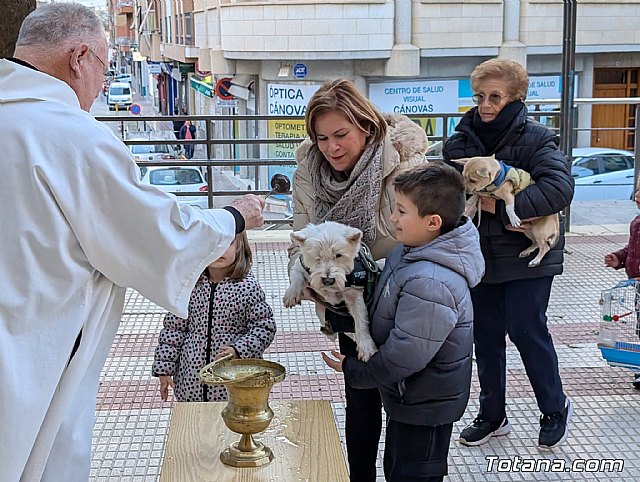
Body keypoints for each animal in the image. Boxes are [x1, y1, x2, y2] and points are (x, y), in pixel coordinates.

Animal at [282, 220, 378, 360]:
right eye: (317, 256)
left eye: (338, 255)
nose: (328, 280)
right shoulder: (301, 266)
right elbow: (297, 276)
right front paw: (291, 295)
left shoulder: (354, 294)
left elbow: (360, 318)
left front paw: (366, 348)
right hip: (321, 310)